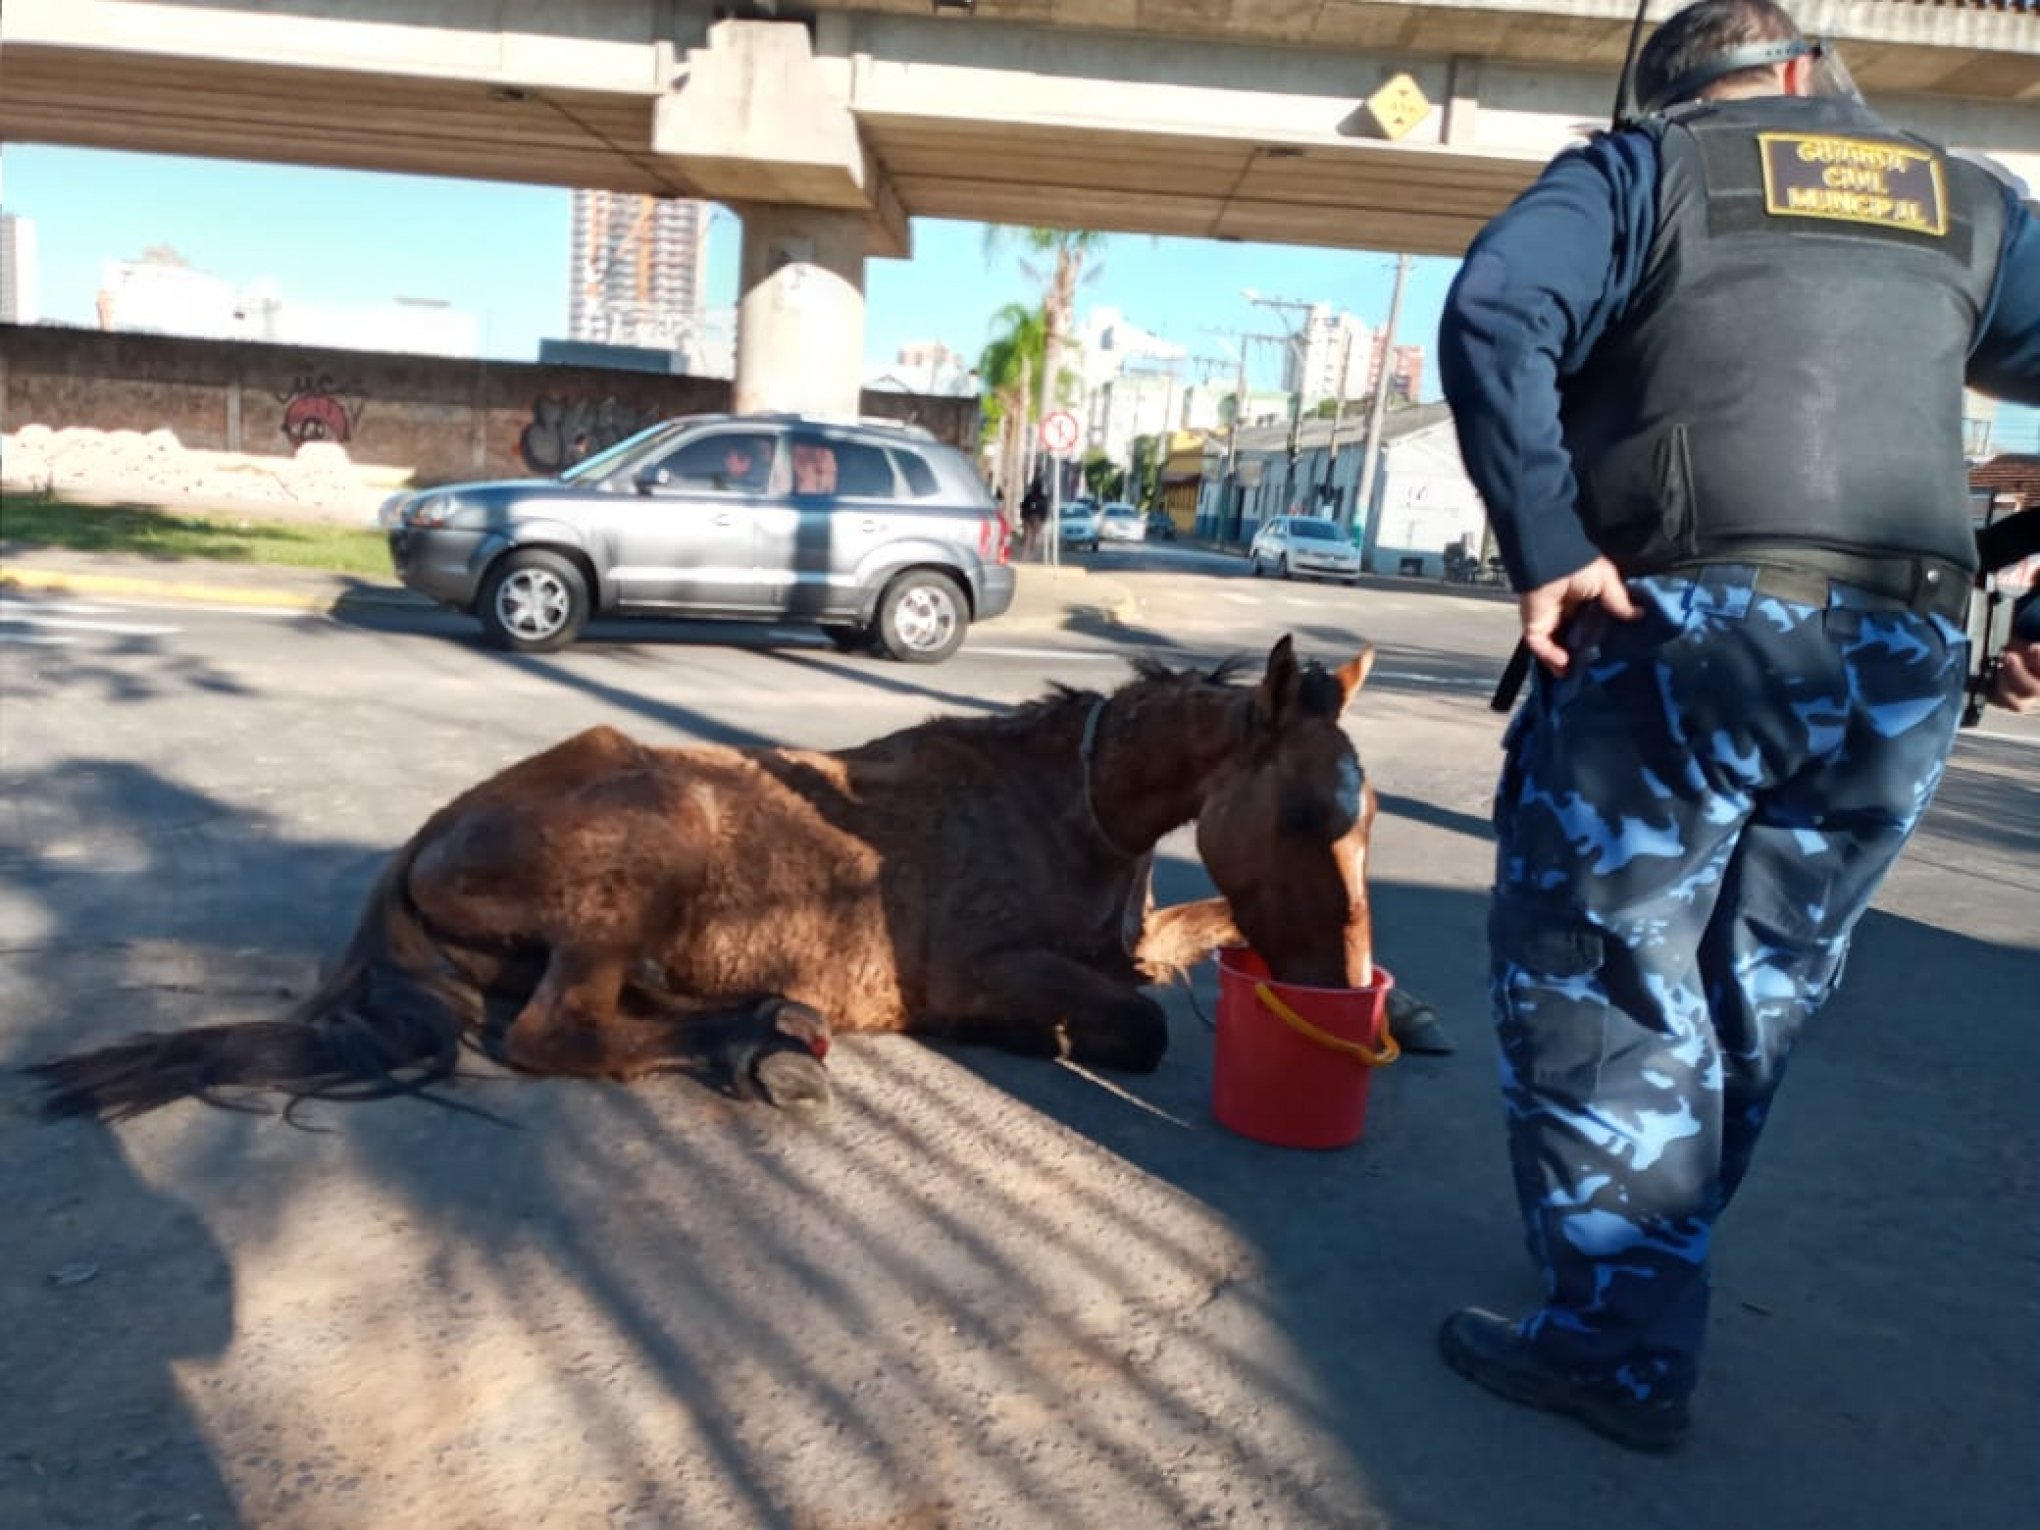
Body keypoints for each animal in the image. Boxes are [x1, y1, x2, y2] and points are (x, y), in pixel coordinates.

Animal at [27, 636, 1370, 1126]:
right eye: (1310, 812)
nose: (1333, 984)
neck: (1069, 810)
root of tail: (431, 836)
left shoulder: (1128, 933)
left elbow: (1184, 942)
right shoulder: (990, 966)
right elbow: (1137, 1023)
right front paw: (1036, 1038)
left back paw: (765, 1020)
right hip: (652, 853)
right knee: (556, 1035)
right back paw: (757, 1048)